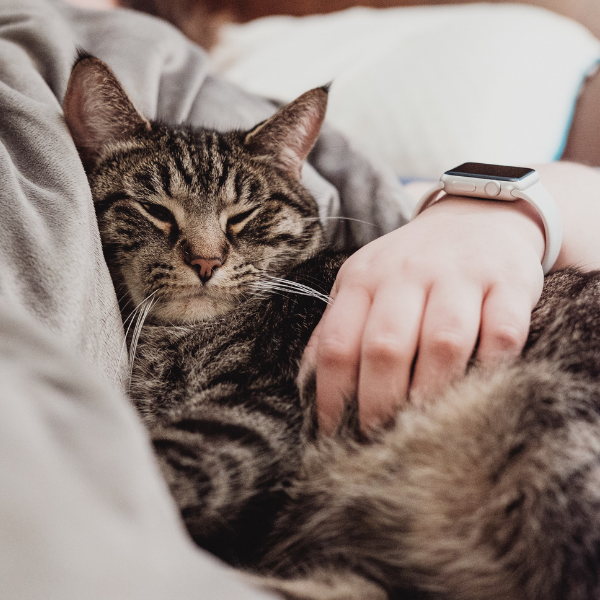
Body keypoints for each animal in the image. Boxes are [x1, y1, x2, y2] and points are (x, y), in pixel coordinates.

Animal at [64, 52, 600, 600]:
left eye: (244, 215)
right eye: (155, 209)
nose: (206, 261)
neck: (175, 340)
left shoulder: (252, 411)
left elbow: (150, 466)